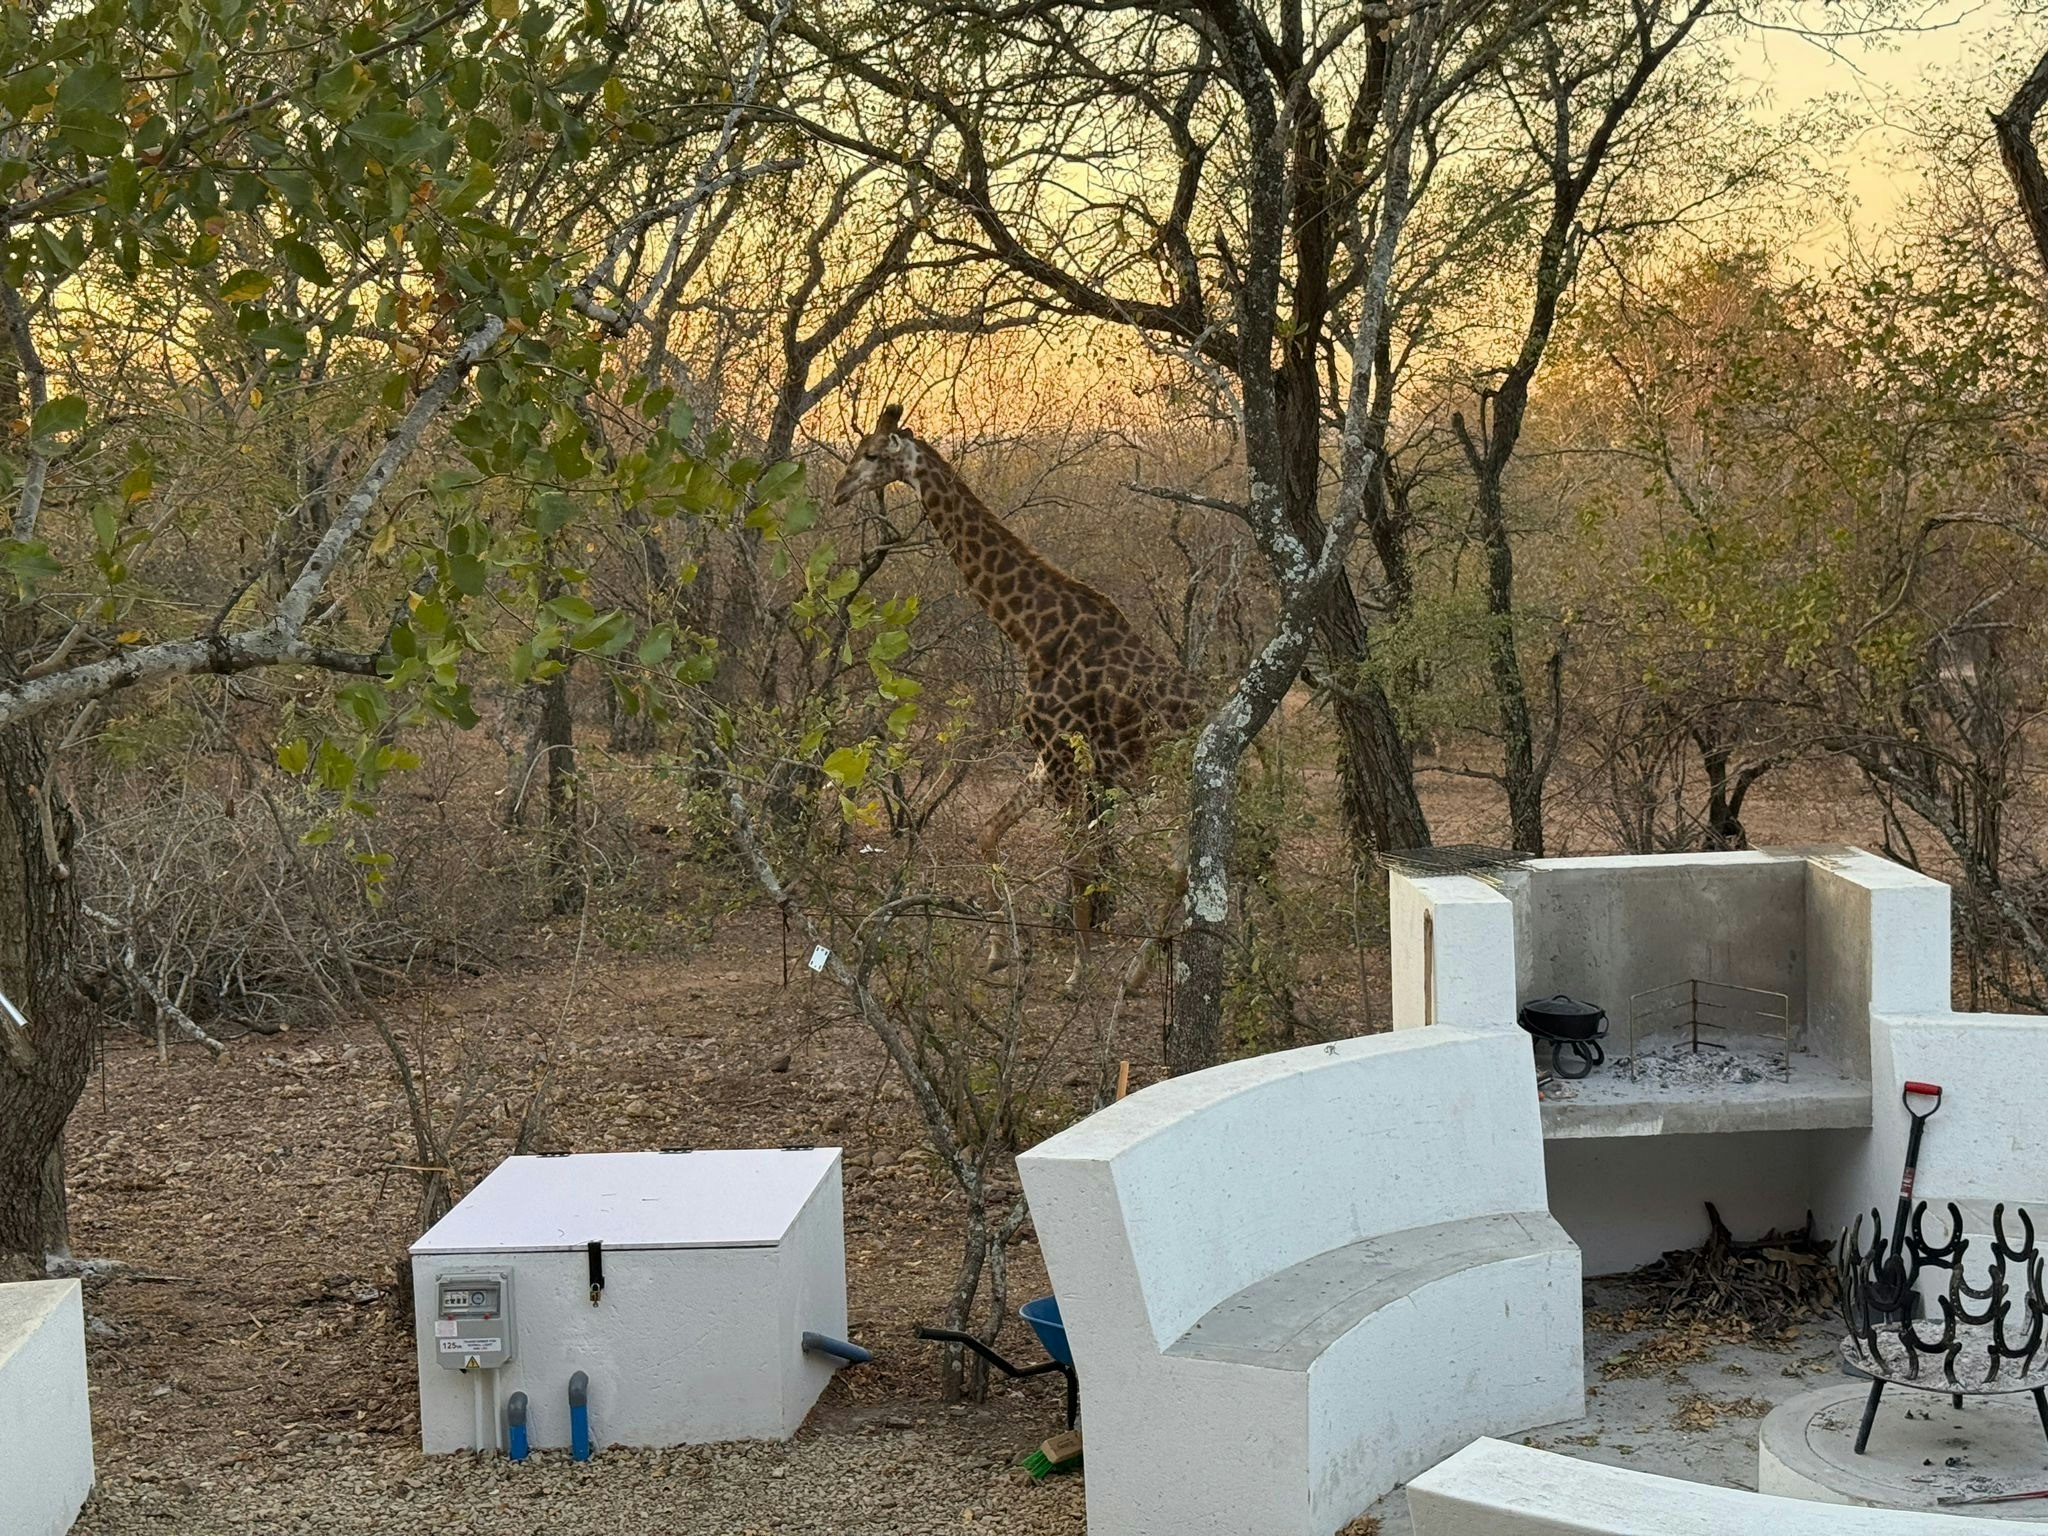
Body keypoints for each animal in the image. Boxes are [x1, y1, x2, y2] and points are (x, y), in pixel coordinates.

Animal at [831, 405, 1200, 979]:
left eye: (871, 454)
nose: (839, 491)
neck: (1031, 632)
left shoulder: (1064, 755)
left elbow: (1077, 859)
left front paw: (1077, 972)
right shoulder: (1046, 757)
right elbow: (989, 832)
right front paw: (1000, 950)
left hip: (1173, 784)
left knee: (1180, 868)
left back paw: (1139, 971)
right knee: (1190, 868)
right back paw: (1142, 972)